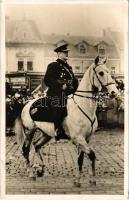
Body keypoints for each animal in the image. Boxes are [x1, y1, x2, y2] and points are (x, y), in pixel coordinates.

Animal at [14, 55, 118, 186]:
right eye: (101, 73)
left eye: (110, 71)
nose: (114, 92)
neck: (82, 105)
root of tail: (27, 104)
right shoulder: (78, 138)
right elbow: (92, 154)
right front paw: (89, 179)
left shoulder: (86, 138)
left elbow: (81, 158)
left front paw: (82, 180)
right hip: (29, 131)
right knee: (25, 150)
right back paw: (31, 173)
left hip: (46, 134)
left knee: (36, 145)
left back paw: (41, 169)